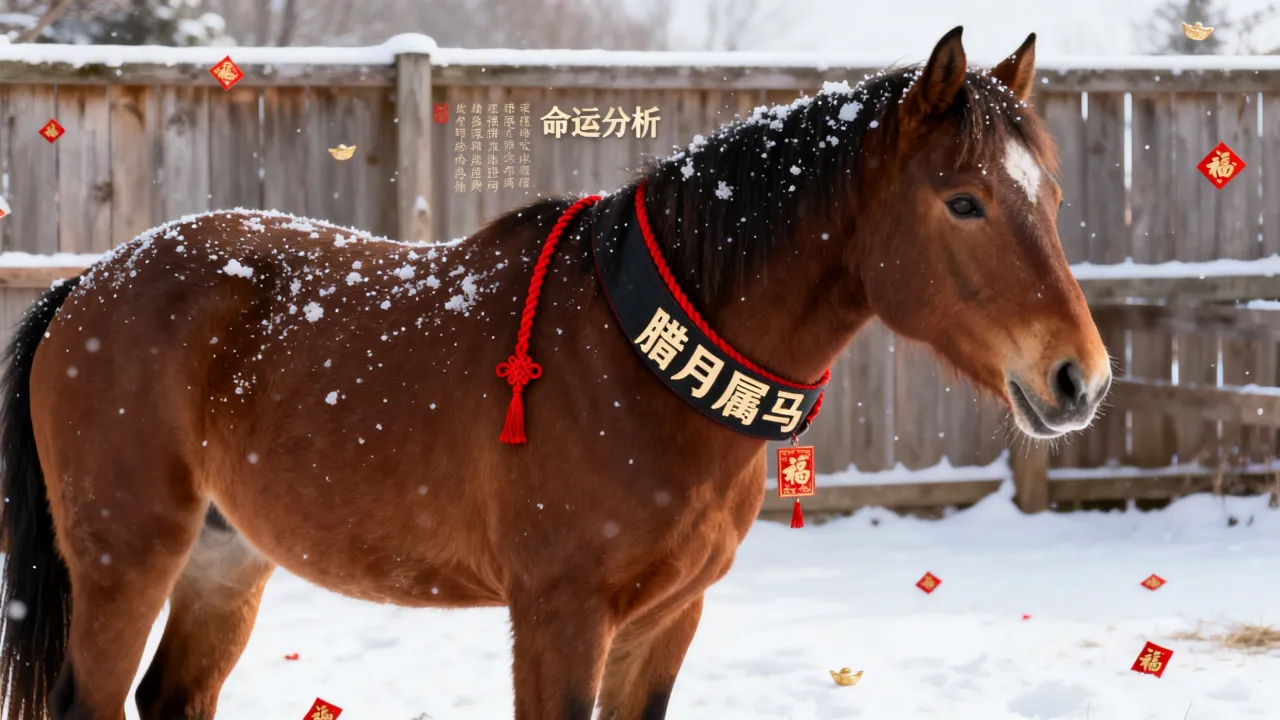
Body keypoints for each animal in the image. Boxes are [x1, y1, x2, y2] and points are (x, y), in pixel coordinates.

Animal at [0, 26, 1109, 720]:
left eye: (1053, 197)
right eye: (962, 201)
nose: (1078, 380)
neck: (635, 363)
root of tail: (88, 285)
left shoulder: (664, 622)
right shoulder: (559, 616)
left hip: (224, 558)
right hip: (127, 554)